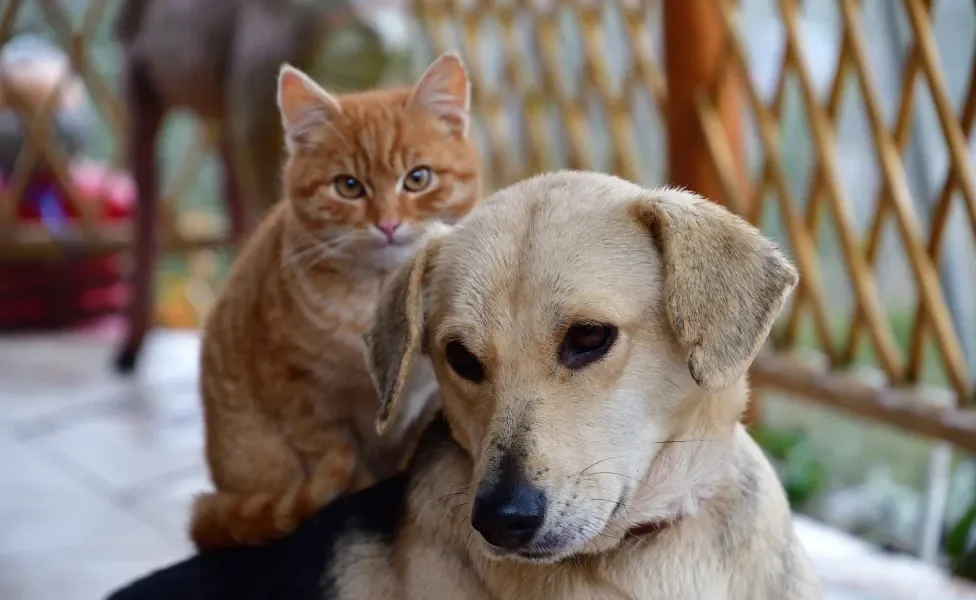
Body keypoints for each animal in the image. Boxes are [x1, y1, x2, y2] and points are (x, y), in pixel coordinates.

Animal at [190, 51, 480, 552]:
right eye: (348, 186)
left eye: (417, 179)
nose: (387, 224)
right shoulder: (302, 396)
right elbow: (340, 467)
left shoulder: (429, 401)